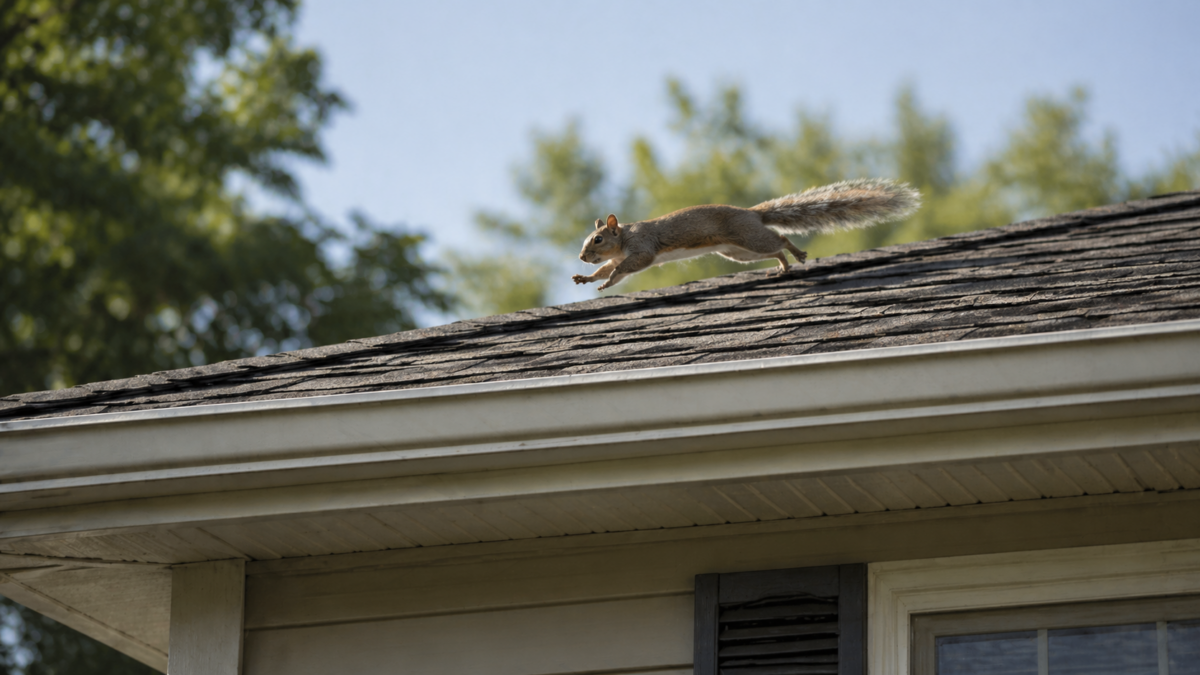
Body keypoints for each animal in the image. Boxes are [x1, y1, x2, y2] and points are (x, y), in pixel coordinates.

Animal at [573, 178, 921, 290]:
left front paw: (606, 279)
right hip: (738, 252)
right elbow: (612, 269)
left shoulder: (642, 247)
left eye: (598, 239)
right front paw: (589, 279)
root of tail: (752, 212)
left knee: (780, 240)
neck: (623, 239)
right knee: (774, 250)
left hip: (748, 238)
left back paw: (797, 254)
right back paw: (782, 268)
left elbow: (624, 267)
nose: (581, 256)